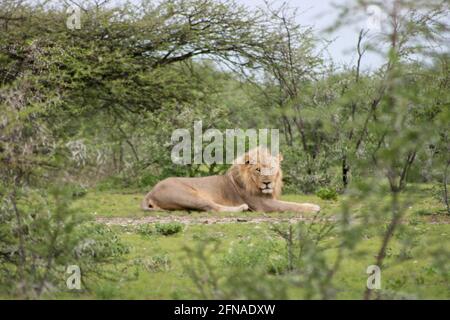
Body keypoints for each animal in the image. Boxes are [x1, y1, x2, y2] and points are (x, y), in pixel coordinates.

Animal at [141, 147, 320, 212]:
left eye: (272, 168)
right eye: (258, 169)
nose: (267, 182)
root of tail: (150, 192)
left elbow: (292, 203)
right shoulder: (262, 204)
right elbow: (290, 206)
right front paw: (313, 208)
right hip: (189, 195)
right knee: (212, 208)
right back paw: (241, 208)